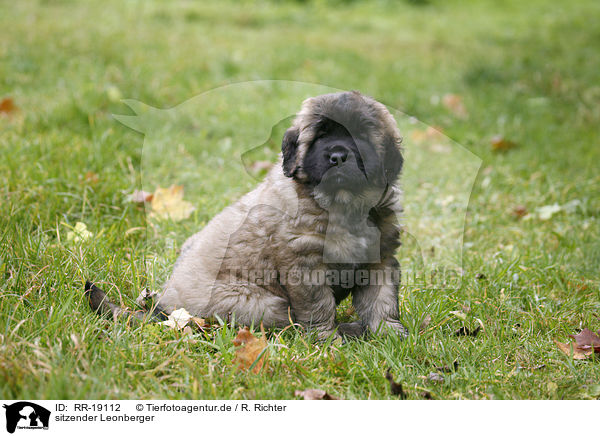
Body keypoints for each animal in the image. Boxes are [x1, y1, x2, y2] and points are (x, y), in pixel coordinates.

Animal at [86, 90, 408, 338]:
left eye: (361, 137)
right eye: (319, 137)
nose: (338, 157)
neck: (343, 205)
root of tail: (168, 310)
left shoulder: (379, 259)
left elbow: (382, 301)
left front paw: (389, 334)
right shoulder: (304, 267)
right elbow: (319, 307)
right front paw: (327, 339)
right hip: (262, 304)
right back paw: (348, 330)